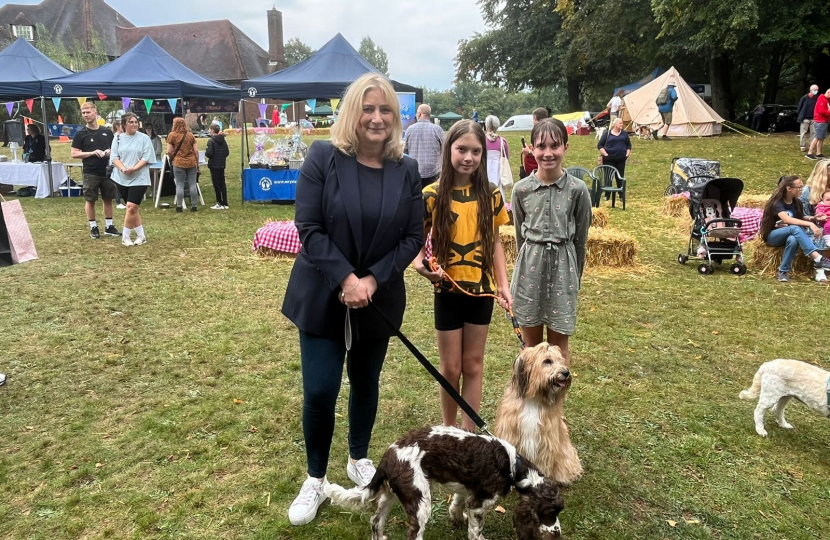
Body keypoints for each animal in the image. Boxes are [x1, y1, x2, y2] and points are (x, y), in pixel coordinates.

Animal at [494, 344, 584, 488]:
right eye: (547, 361)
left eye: (561, 360)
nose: (566, 373)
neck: (534, 399)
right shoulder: (509, 432)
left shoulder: (545, 441)